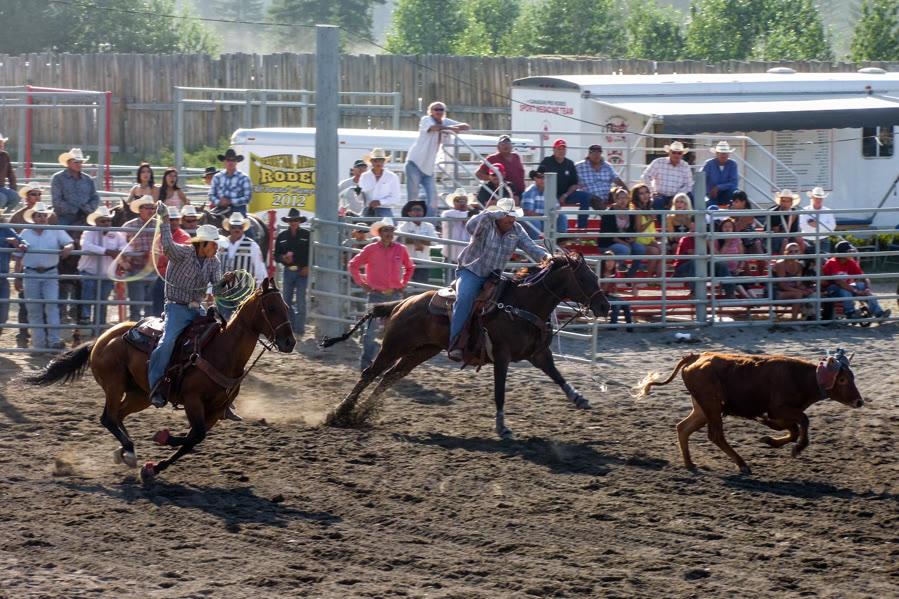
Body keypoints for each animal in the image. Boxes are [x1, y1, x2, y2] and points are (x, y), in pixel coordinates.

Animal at [22, 277, 295, 480]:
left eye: (286, 307)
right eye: (271, 308)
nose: (289, 342)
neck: (222, 352)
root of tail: (100, 338)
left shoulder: (216, 412)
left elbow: (192, 441)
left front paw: (154, 468)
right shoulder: (193, 401)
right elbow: (194, 436)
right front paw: (161, 438)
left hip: (140, 394)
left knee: (118, 416)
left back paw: (123, 451)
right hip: (114, 385)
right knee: (108, 417)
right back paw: (130, 452)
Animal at [324, 253, 611, 439]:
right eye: (585, 279)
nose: (605, 306)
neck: (521, 305)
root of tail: (401, 303)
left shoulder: (539, 354)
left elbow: (557, 375)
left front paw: (579, 398)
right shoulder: (502, 356)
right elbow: (499, 393)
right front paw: (502, 428)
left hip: (421, 351)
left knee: (390, 376)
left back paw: (363, 413)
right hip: (395, 345)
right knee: (370, 373)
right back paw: (340, 413)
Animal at [633, 348, 863, 474]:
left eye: (852, 377)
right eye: (843, 379)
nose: (859, 401)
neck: (803, 378)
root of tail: (697, 357)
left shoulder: (782, 414)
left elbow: (793, 429)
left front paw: (770, 439)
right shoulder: (780, 409)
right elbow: (803, 422)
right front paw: (797, 448)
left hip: (703, 407)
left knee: (683, 428)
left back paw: (689, 463)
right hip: (711, 405)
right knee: (715, 435)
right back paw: (742, 464)